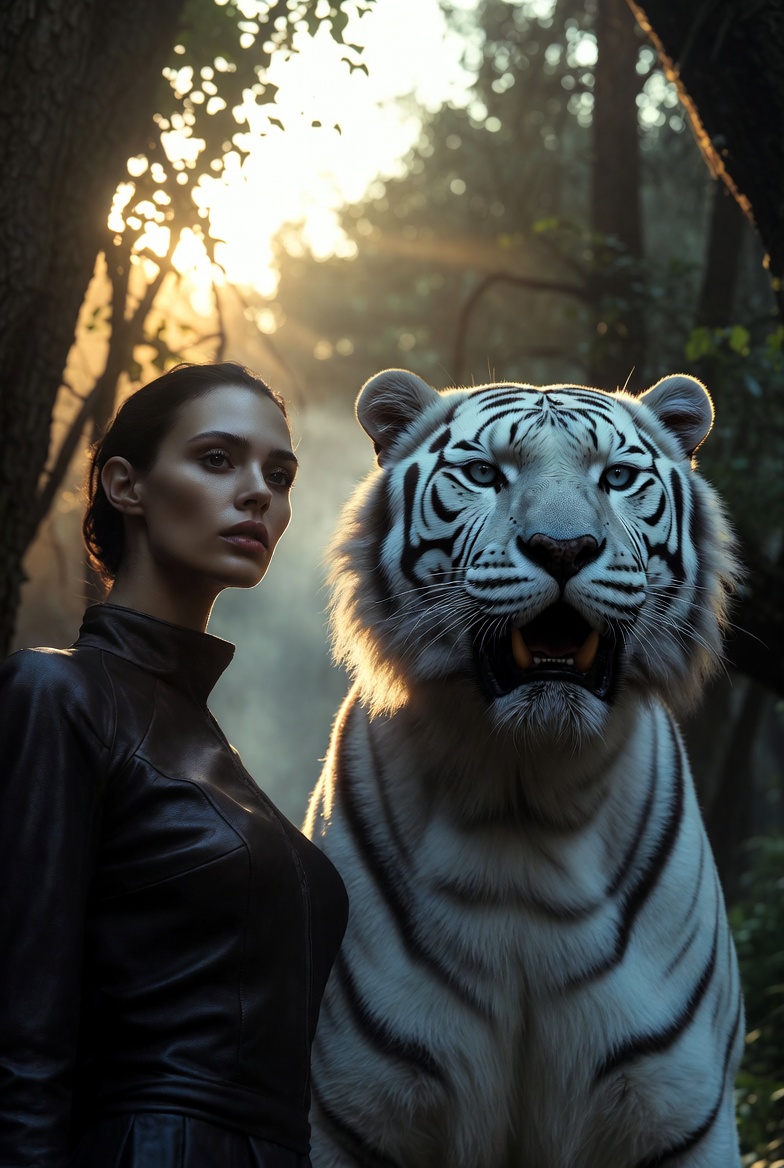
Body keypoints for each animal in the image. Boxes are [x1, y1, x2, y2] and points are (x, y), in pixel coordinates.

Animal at [304, 368, 745, 1168]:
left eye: (618, 477)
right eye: (484, 474)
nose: (563, 548)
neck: (527, 795)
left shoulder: (679, 1114)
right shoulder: (350, 1110)